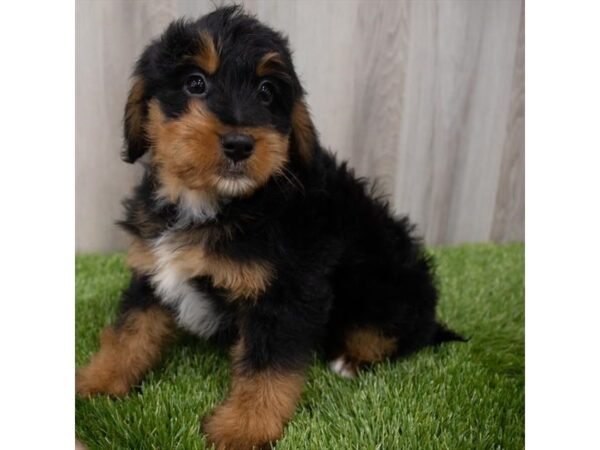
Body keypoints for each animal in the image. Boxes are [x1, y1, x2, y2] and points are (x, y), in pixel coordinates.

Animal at [76, 7, 464, 450]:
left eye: (266, 92)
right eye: (195, 83)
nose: (240, 144)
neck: (212, 204)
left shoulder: (286, 293)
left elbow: (267, 368)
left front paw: (242, 429)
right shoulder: (152, 270)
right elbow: (129, 332)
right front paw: (98, 382)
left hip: (387, 287)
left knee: (393, 335)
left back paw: (350, 360)